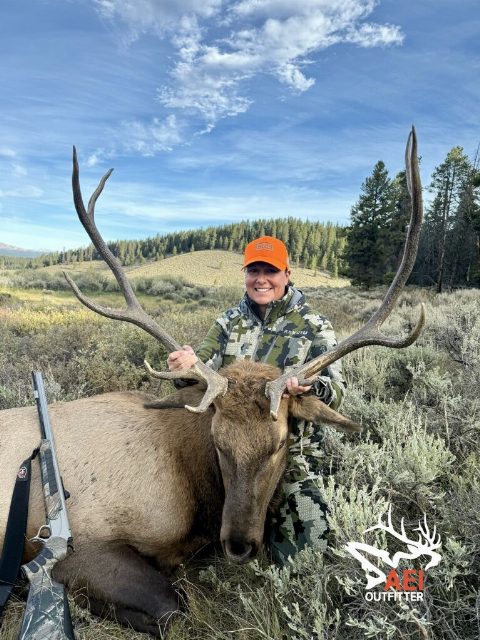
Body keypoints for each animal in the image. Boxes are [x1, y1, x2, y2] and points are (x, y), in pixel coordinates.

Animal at [0, 128, 424, 636]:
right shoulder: (75, 542)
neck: (194, 501)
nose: (239, 544)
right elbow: (169, 606)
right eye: (218, 442)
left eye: (280, 443)